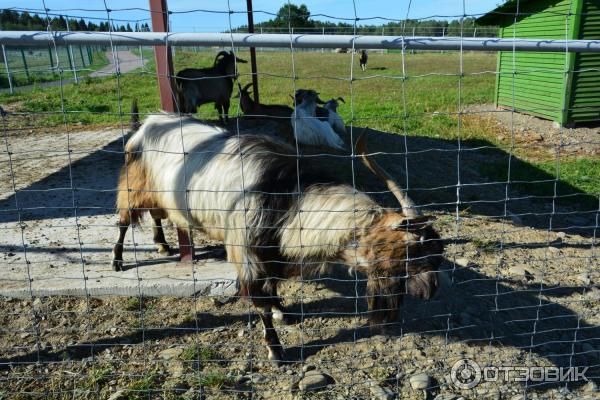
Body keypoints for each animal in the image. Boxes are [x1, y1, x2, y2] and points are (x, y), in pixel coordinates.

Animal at [112, 114, 442, 364]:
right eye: (415, 249)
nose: (431, 291)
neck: (288, 200)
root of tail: (147, 123)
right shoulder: (248, 254)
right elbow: (259, 301)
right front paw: (276, 350)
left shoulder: (274, 253)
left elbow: (273, 288)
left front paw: (281, 310)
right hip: (134, 186)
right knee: (124, 221)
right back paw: (117, 261)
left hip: (160, 194)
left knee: (157, 215)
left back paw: (162, 243)